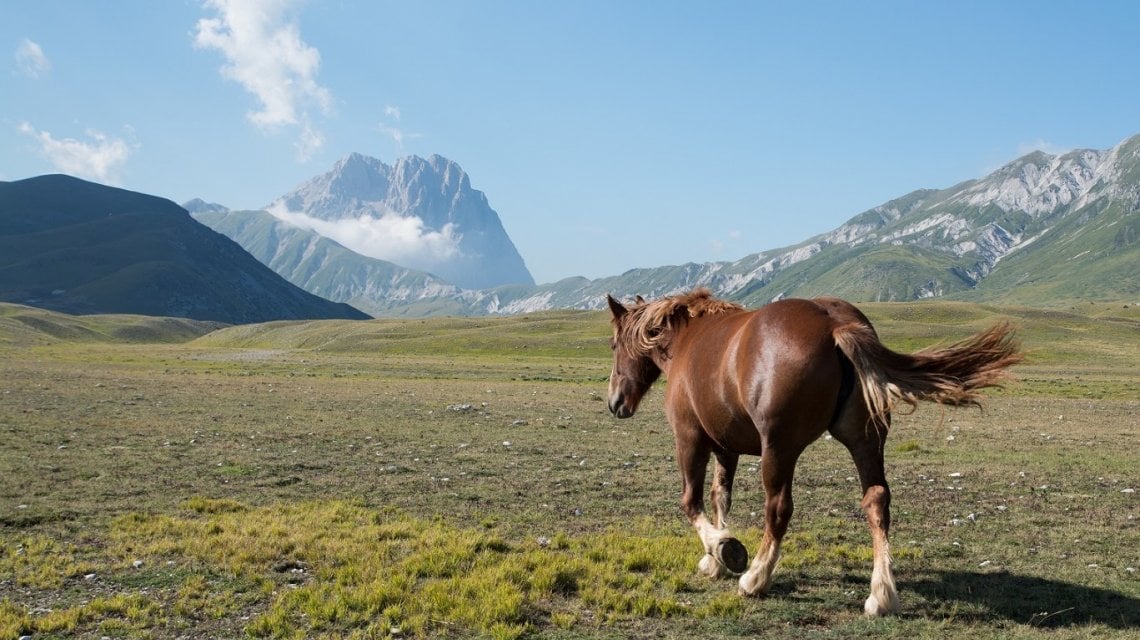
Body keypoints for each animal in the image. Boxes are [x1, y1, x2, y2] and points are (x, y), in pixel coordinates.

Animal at [605, 288, 1022, 616]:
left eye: (612, 345)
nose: (615, 402)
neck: (687, 342)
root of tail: (834, 325)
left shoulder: (690, 438)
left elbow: (691, 502)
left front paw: (725, 551)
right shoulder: (727, 447)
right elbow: (720, 497)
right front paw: (715, 558)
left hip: (779, 449)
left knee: (778, 510)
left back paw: (755, 579)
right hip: (866, 441)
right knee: (877, 501)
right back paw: (881, 595)